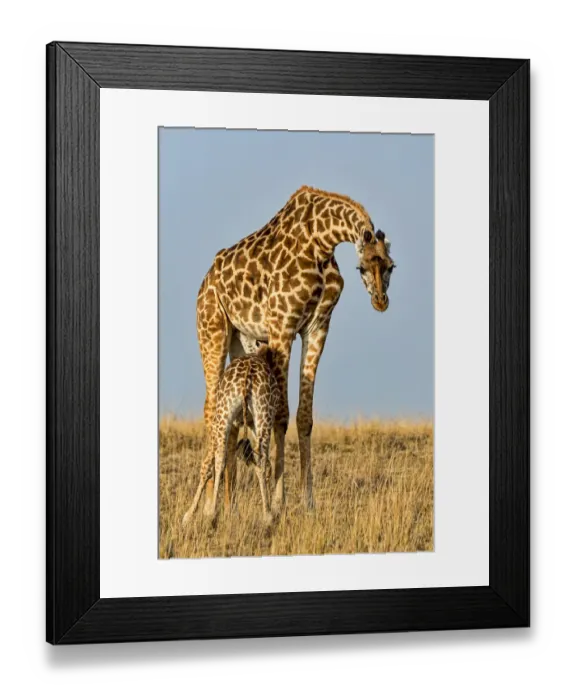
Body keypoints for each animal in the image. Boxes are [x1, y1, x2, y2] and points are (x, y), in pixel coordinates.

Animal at [182, 344, 280, 526]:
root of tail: (247, 375)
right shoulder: (252, 424)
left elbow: (209, 465)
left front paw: (191, 514)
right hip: (260, 417)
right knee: (261, 462)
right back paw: (267, 515)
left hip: (225, 416)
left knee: (221, 460)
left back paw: (211, 513)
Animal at [195, 185, 395, 515]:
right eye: (361, 267)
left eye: (391, 266)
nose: (380, 301)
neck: (322, 242)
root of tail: (206, 280)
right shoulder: (282, 328)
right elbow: (281, 415)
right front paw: (278, 502)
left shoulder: (317, 328)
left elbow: (304, 416)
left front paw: (308, 502)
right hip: (212, 330)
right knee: (211, 408)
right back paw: (208, 504)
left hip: (241, 343)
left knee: (232, 415)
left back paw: (230, 504)